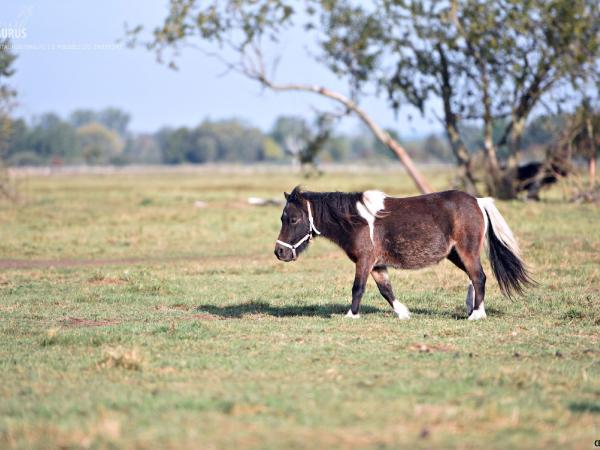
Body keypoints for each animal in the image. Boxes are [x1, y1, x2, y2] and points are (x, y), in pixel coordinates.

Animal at [274, 186, 532, 320]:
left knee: (479, 277)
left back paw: (476, 314)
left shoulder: (364, 261)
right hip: (455, 254)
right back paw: (475, 308)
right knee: (475, 278)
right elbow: (386, 290)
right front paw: (403, 313)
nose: (279, 252)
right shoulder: (376, 265)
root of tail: (478, 200)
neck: (357, 220)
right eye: (282, 218)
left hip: (466, 251)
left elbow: (358, 288)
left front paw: (351, 315)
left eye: (293, 219)